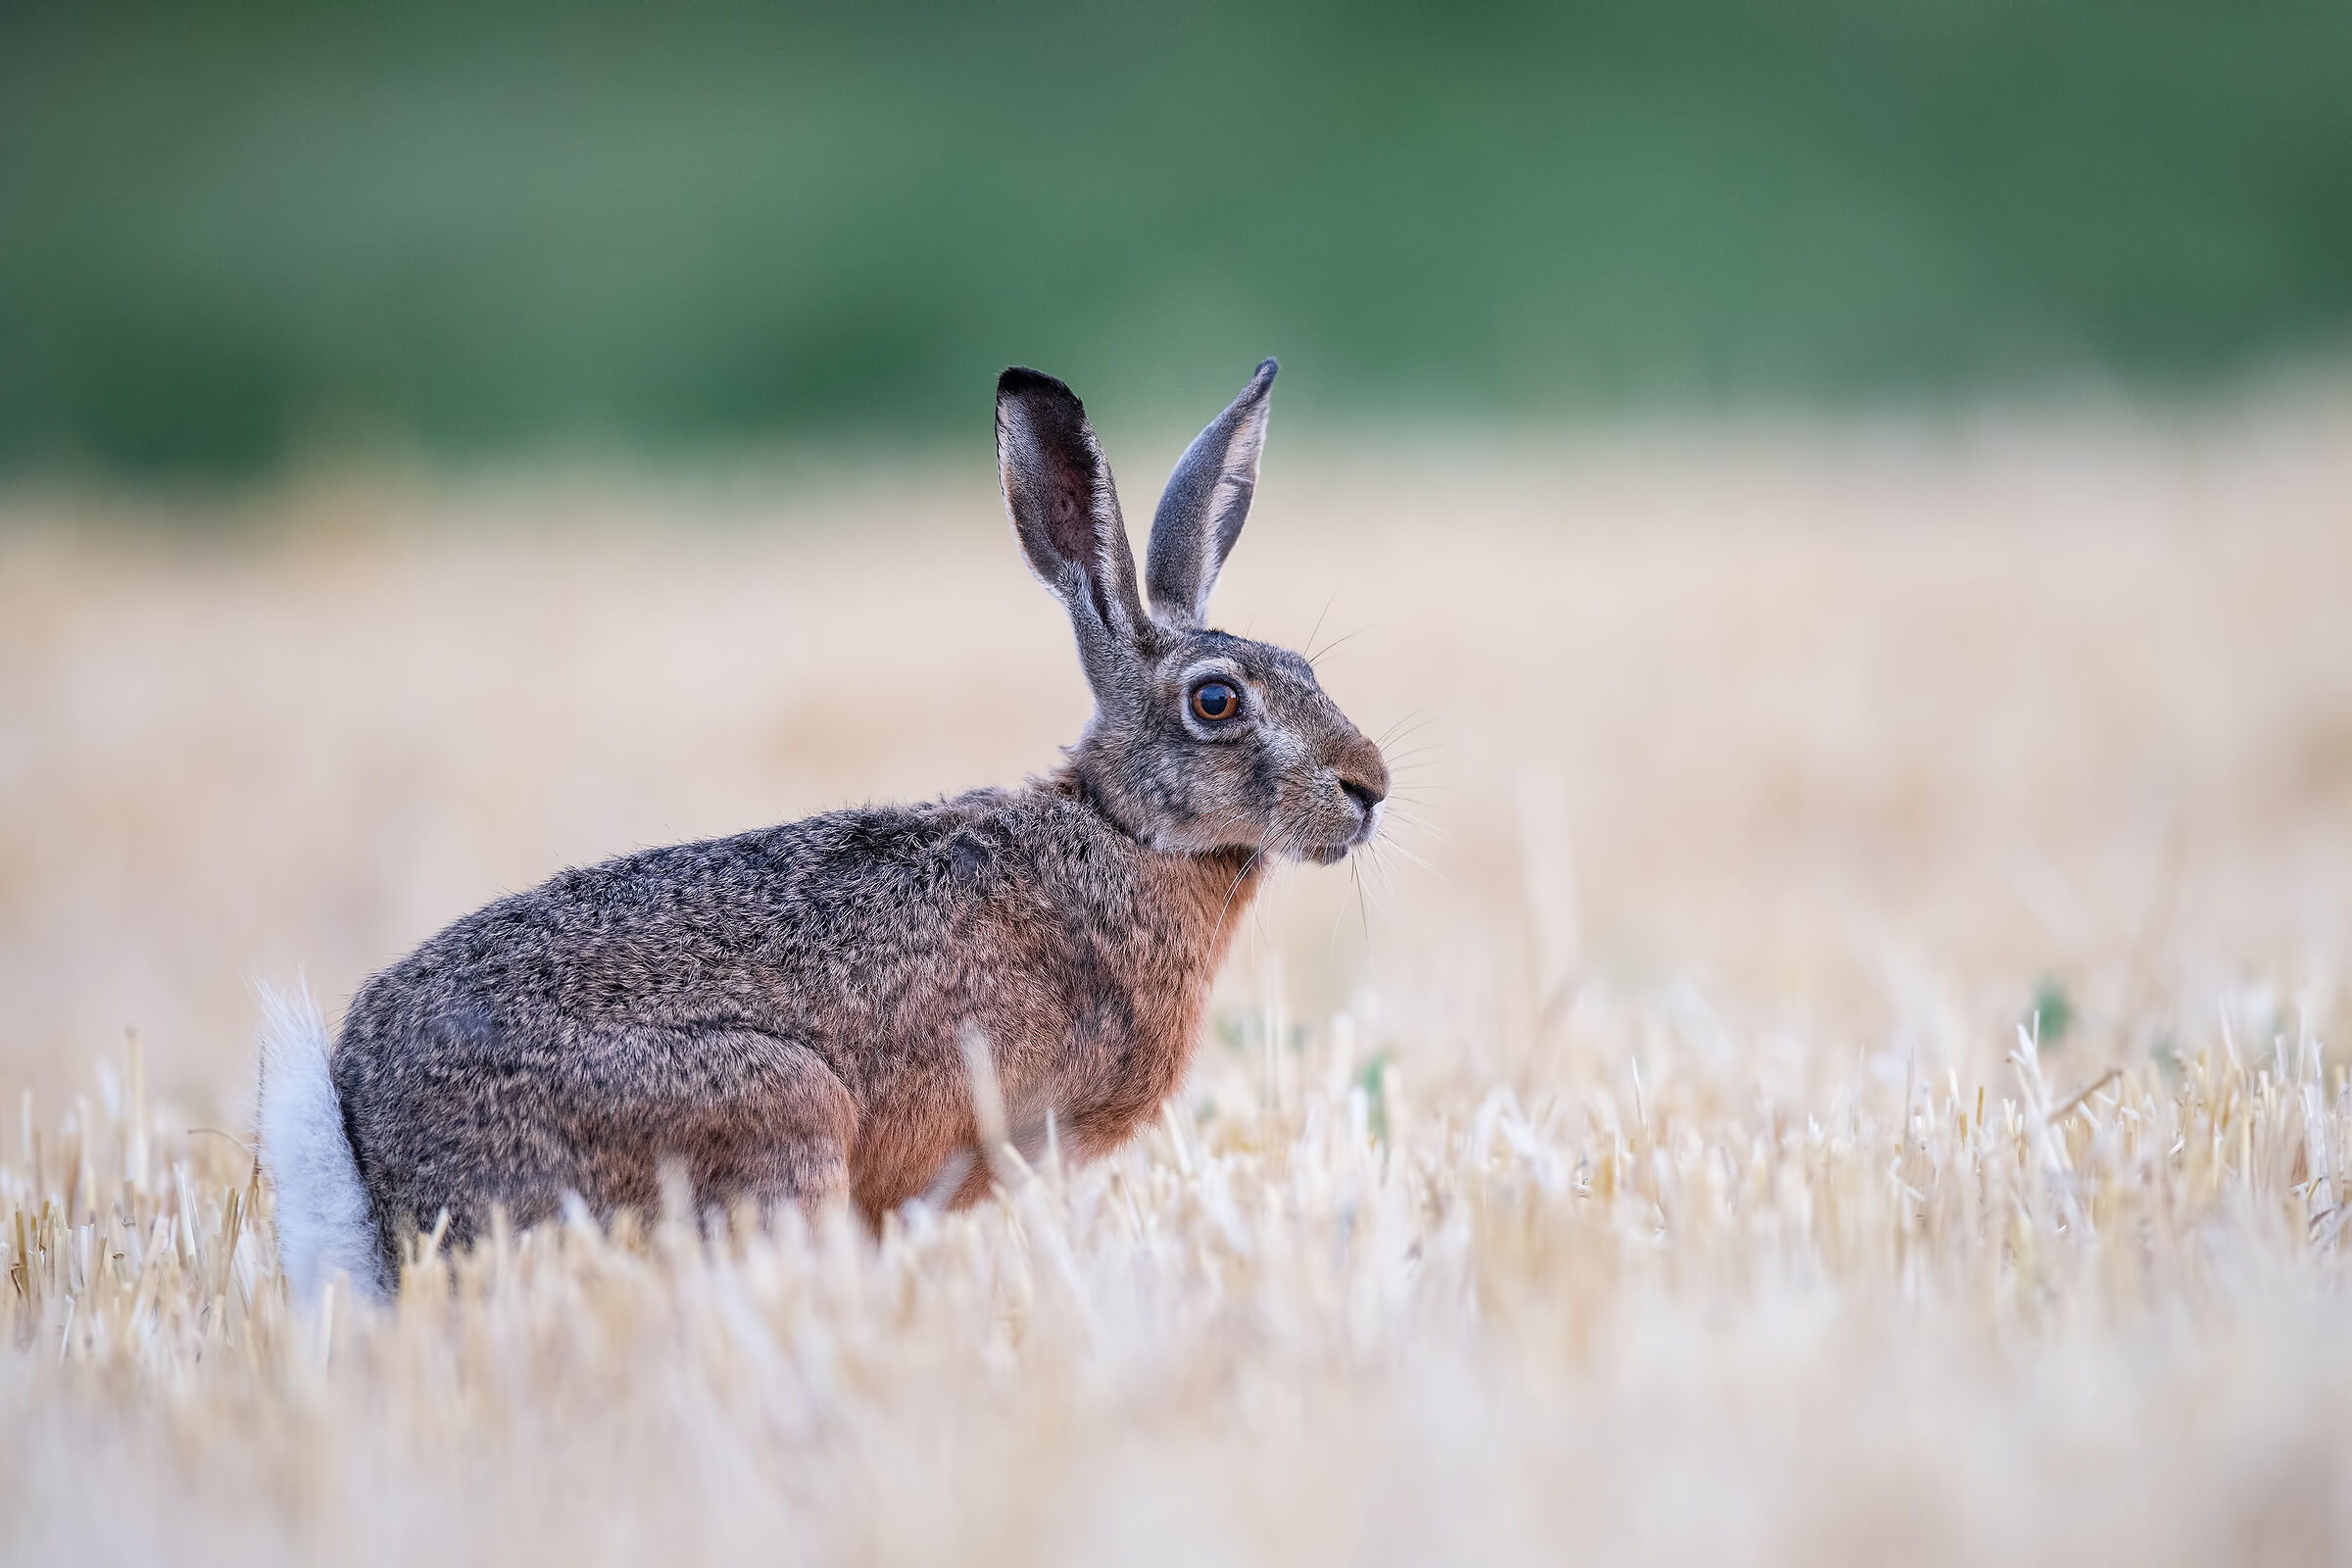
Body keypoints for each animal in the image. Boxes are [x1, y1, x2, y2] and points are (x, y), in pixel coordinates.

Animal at [258, 359, 1389, 1303]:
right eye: (1215, 702)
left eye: (1306, 668)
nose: (1369, 786)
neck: (1119, 829)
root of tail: (372, 1164)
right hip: (777, 1107)